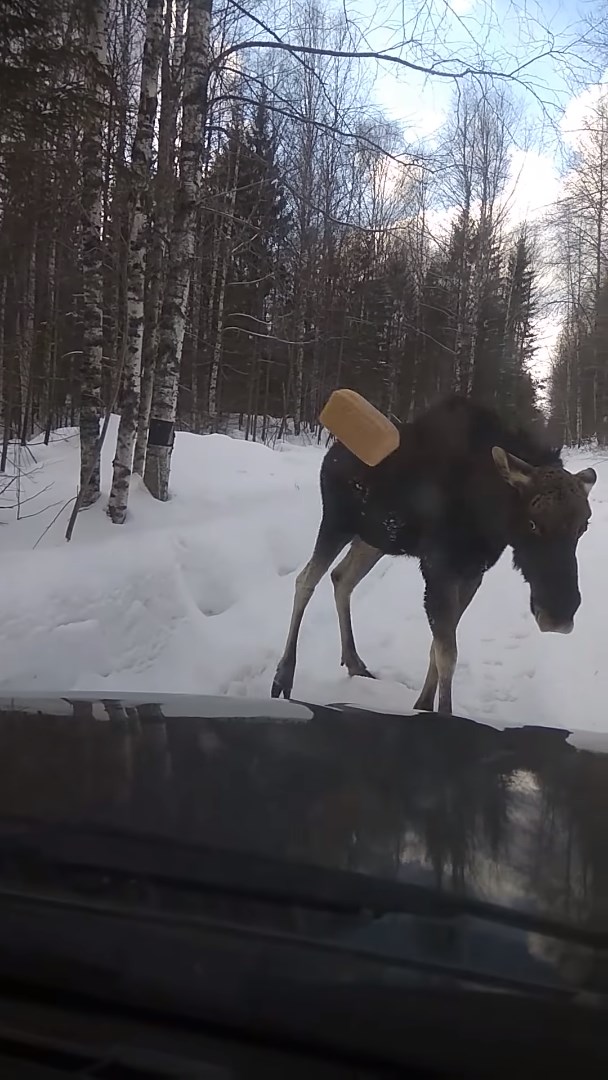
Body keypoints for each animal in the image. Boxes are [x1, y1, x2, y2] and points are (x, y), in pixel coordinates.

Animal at [271, 395, 596, 714]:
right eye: (532, 522)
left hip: (373, 539)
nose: (559, 614)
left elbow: (437, 646)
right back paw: (283, 675)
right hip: (337, 522)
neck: (487, 513)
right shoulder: (438, 567)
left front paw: (424, 704)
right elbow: (447, 653)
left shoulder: (472, 573)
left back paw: (354, 661)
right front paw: (442, 712)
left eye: (584, 525)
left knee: (342, 578)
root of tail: (331, 453)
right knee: (306, 580)